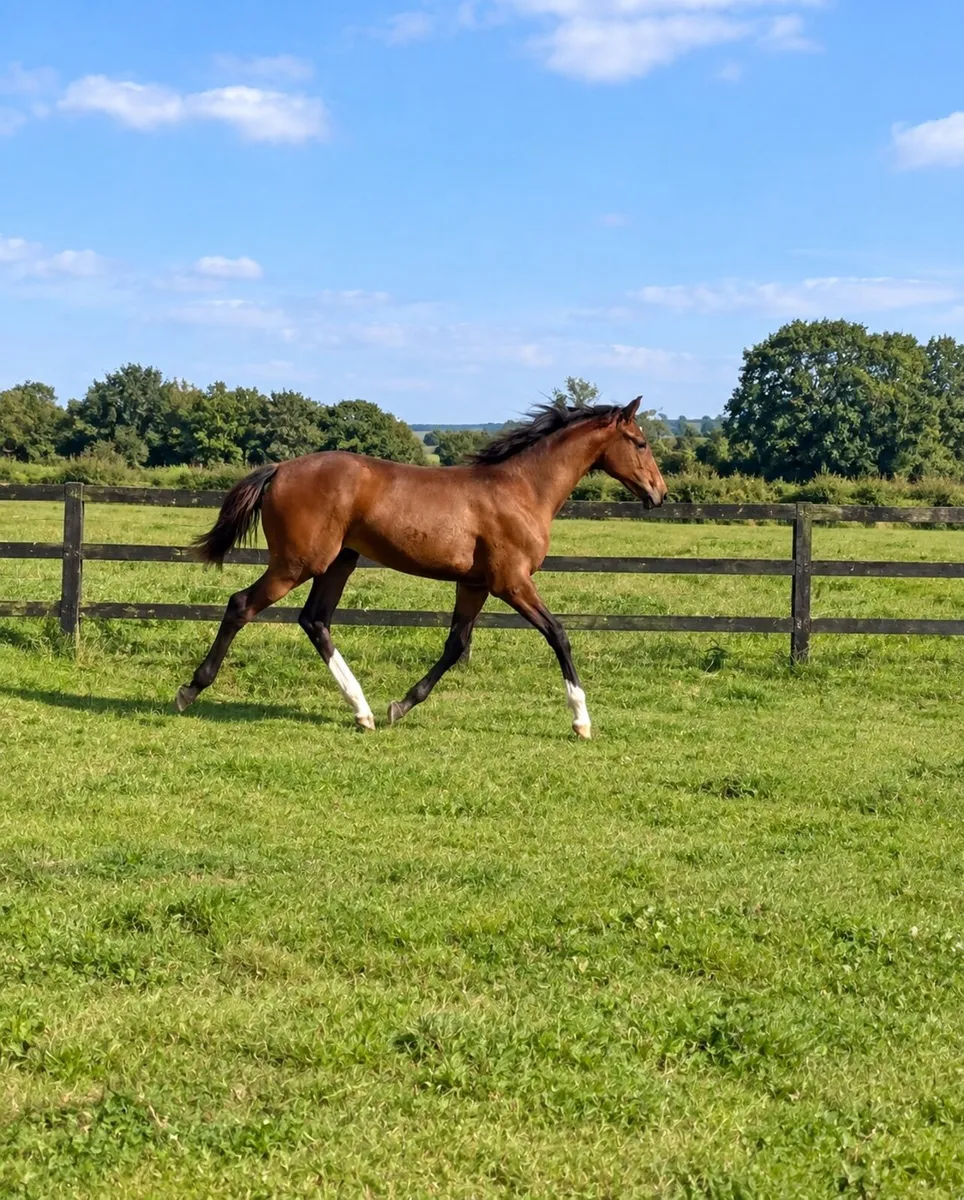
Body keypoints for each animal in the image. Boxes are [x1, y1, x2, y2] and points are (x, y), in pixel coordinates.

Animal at [175, 397, 667, 738]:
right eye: (641, 443)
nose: (659, 493)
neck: (522, 489)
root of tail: (279, 469)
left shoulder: (474, 584)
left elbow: (455, 645)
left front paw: (401, 705)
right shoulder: (511, 582)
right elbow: (559, 634)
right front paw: (582, 721)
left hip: (338, 563)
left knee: (315, 620)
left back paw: (364, 711)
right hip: (298, 563)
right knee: (241, 605)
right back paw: (189, 690)